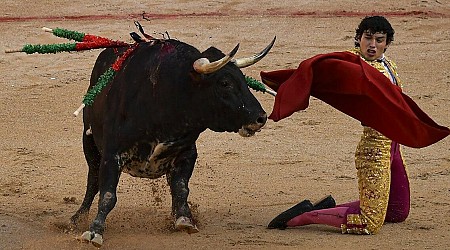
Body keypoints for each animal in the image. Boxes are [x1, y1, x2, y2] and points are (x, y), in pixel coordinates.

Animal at [70, 36, 274, 247]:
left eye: (243, 79)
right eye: (224, 83)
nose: (261, 117)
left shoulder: (187, 153)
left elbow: (181, 188)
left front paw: (184, 220)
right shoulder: (112, 155)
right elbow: (108, 195)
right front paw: (94, 232)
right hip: (89, 144)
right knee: (93, 181)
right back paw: (78, 218)